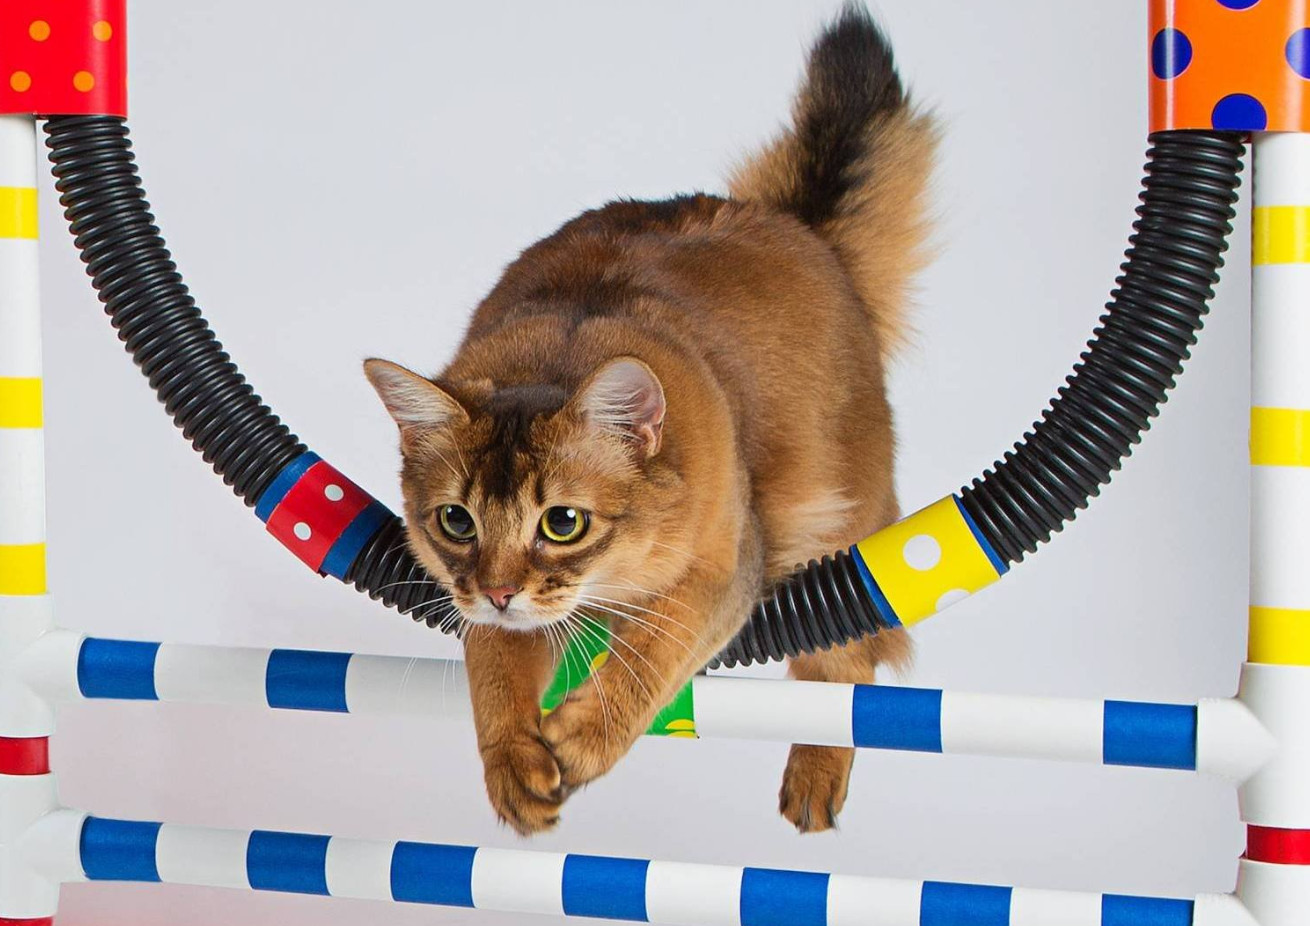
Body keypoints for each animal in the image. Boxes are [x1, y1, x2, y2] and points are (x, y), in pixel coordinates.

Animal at [366, 5, 935, 835]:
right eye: (456, 522)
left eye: (563, 522)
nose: (499, 591)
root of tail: (788, 224)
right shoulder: (493, 608)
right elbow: (493, 660)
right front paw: (513, 765)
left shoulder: (729, 561)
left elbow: (658, 643)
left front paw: (586, 736)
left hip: (837, 515)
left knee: (844, 663)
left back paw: (815, 777)